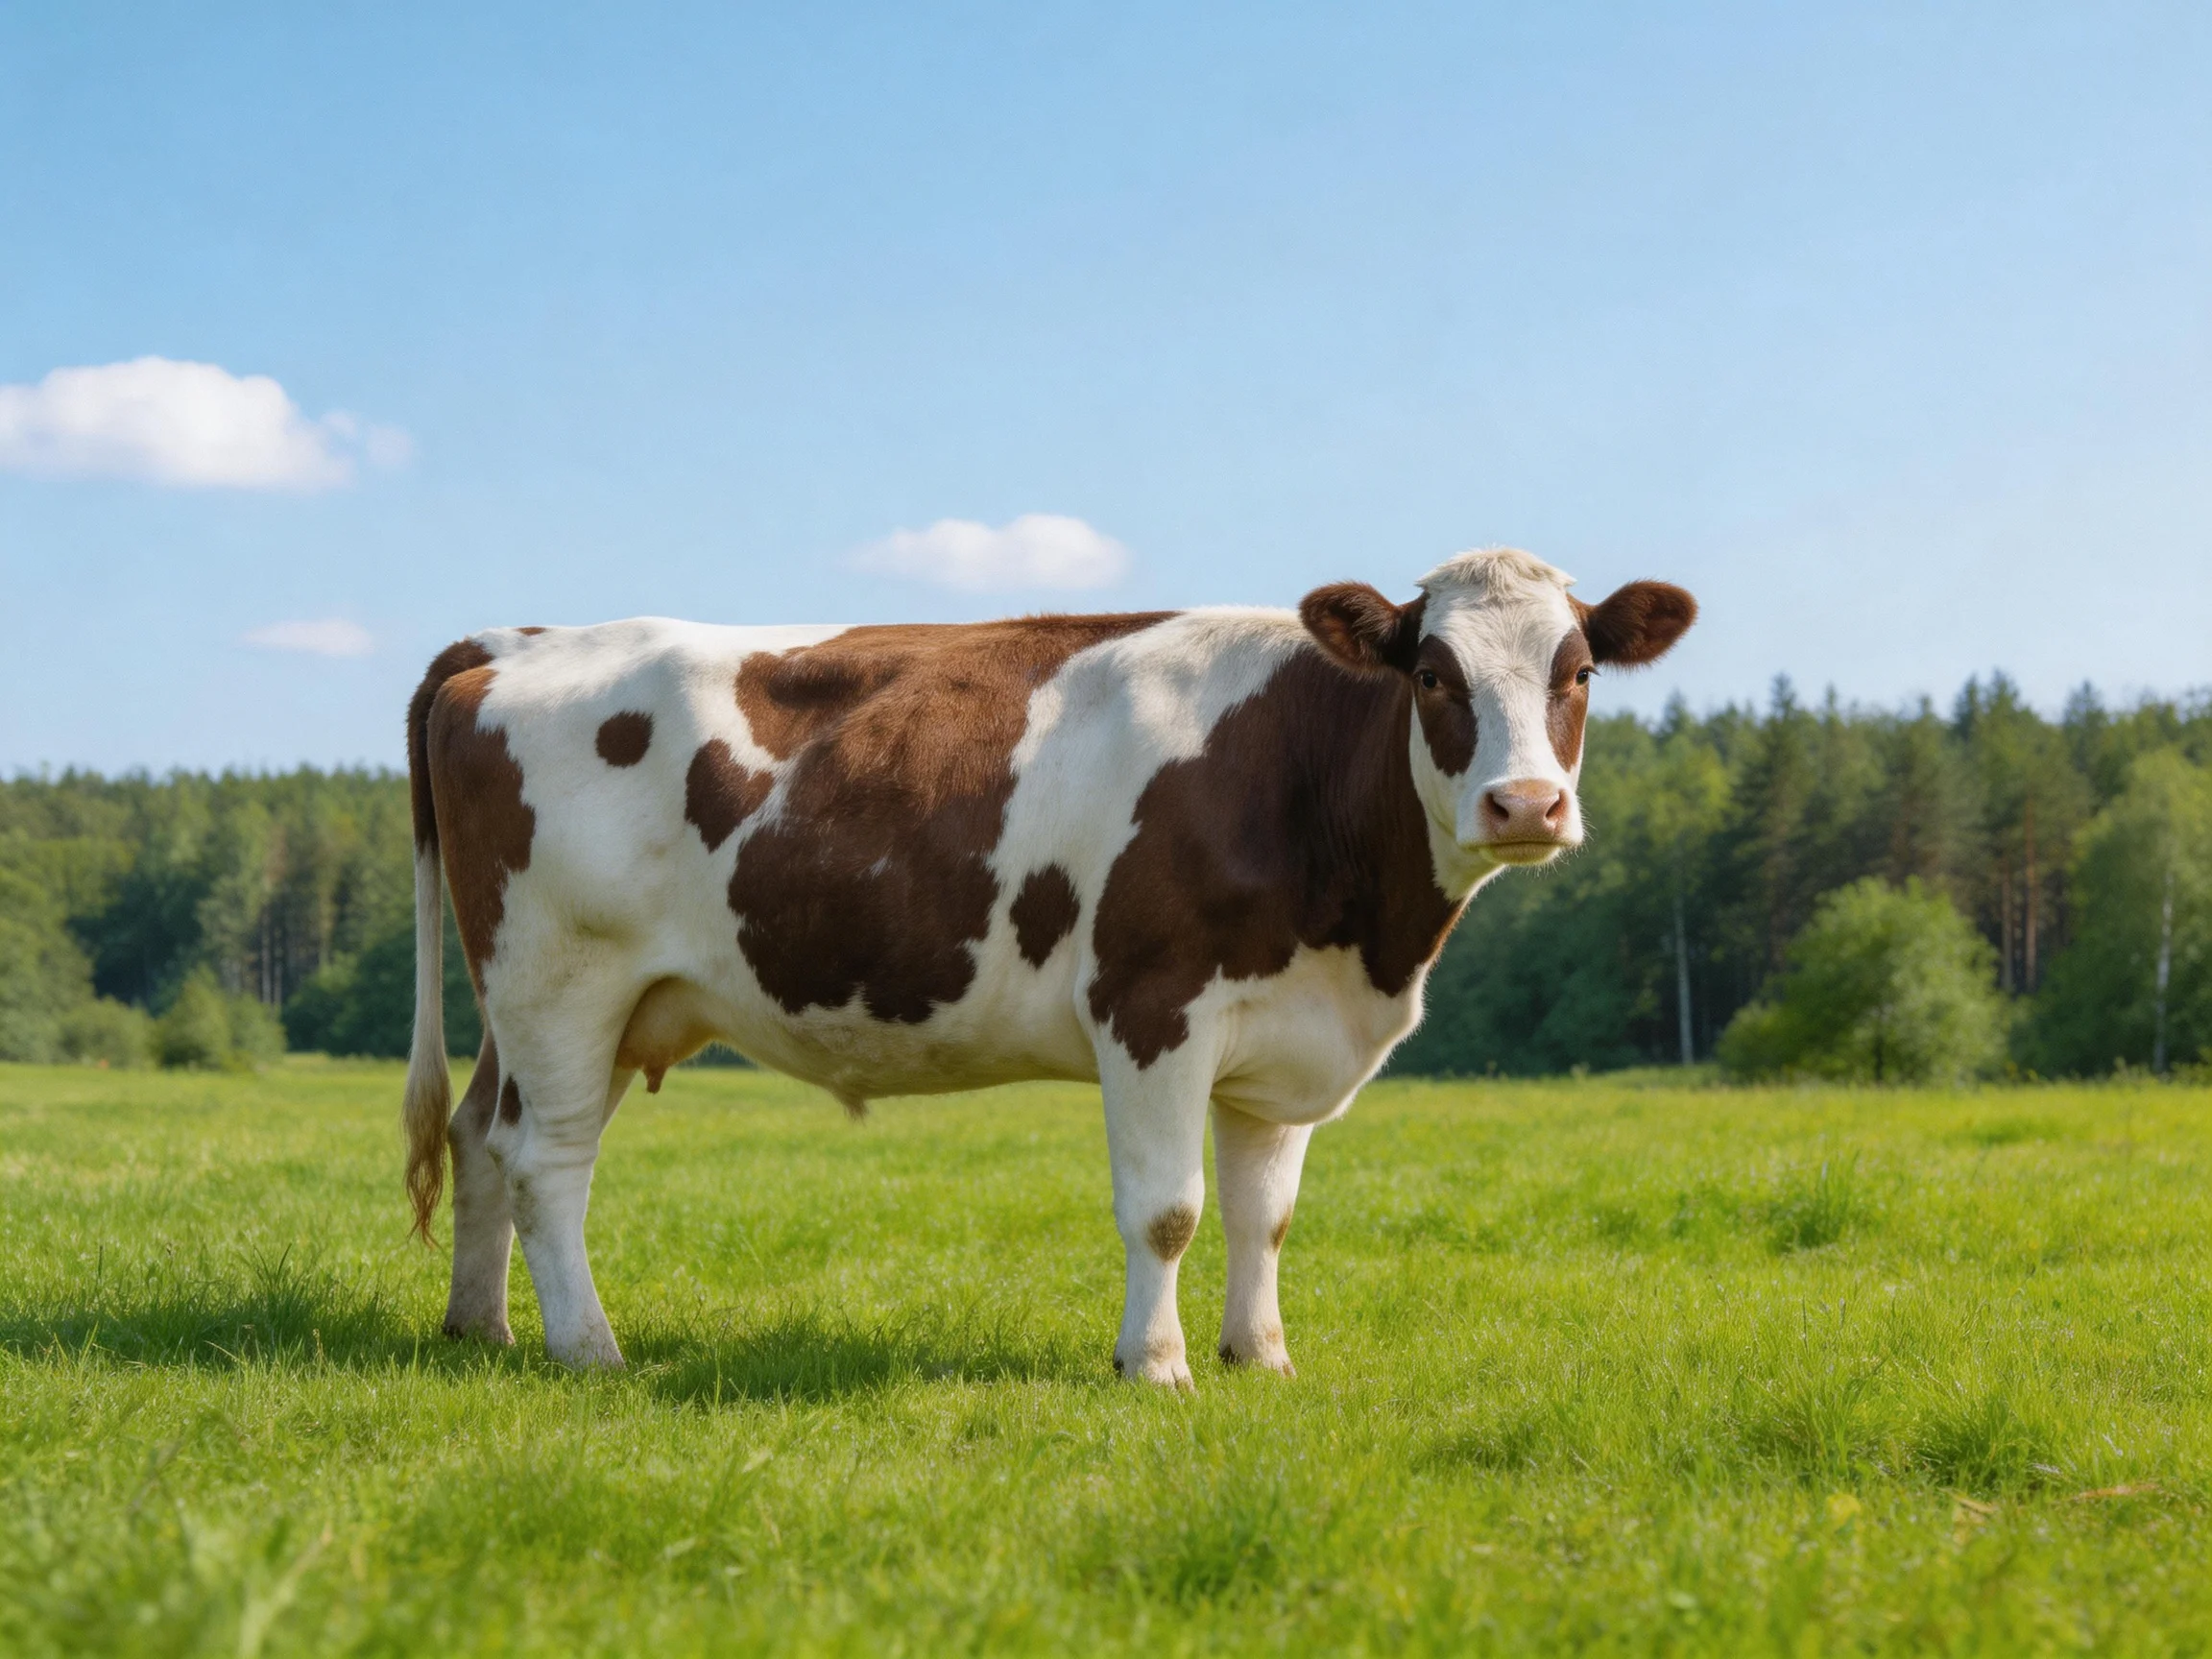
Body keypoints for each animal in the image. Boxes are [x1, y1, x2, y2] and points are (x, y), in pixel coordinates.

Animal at [402, 547, 1695, 1385]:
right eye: (1432, 675)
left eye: (1578, 674)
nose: (1525, 805)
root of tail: (515, 642)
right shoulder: (1153, 1005)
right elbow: (1168, 1211)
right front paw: (1156, 1367)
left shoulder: (1283, 1038)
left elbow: (1263, 1217)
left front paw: (1261, 1359)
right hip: (562, 980)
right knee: (547, 1162)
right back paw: (591, 1352)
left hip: (576, 1006)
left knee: (480, 1134)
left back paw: (483, 1329)